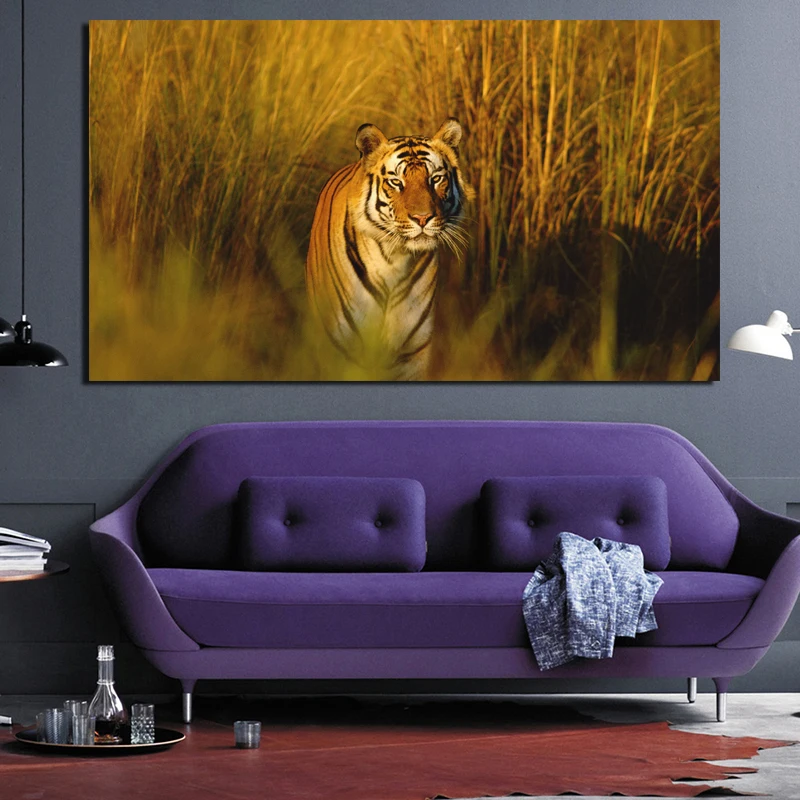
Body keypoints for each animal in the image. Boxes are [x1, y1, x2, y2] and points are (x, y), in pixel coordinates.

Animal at [306, 118, 474, 380]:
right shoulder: (341, 350)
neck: (394, 259)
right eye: (396, 182)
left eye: (435, 179)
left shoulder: (412, 355)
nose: (423, 218)